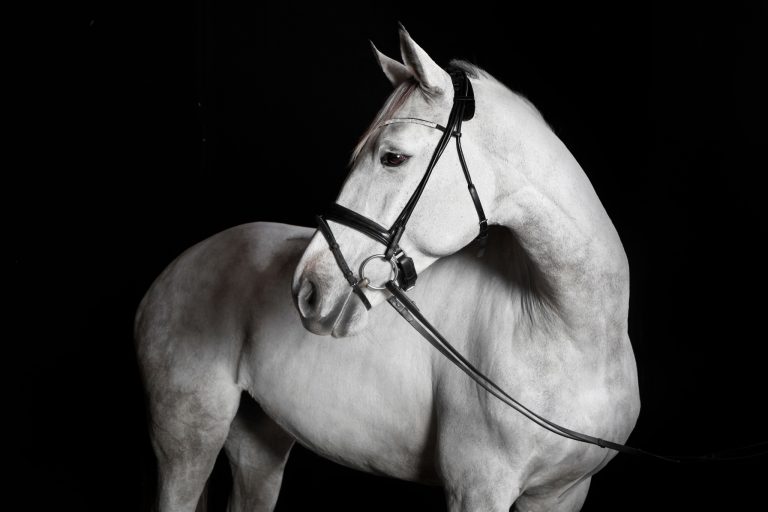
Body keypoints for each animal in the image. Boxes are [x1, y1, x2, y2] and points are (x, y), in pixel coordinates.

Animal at [135, 26, 640, 512]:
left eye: (392, 157)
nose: (307, 289)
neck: (564, 334)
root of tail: (176, 268)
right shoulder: (478, 491)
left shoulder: (563, 495)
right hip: (187, 442)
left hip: (260, 444)